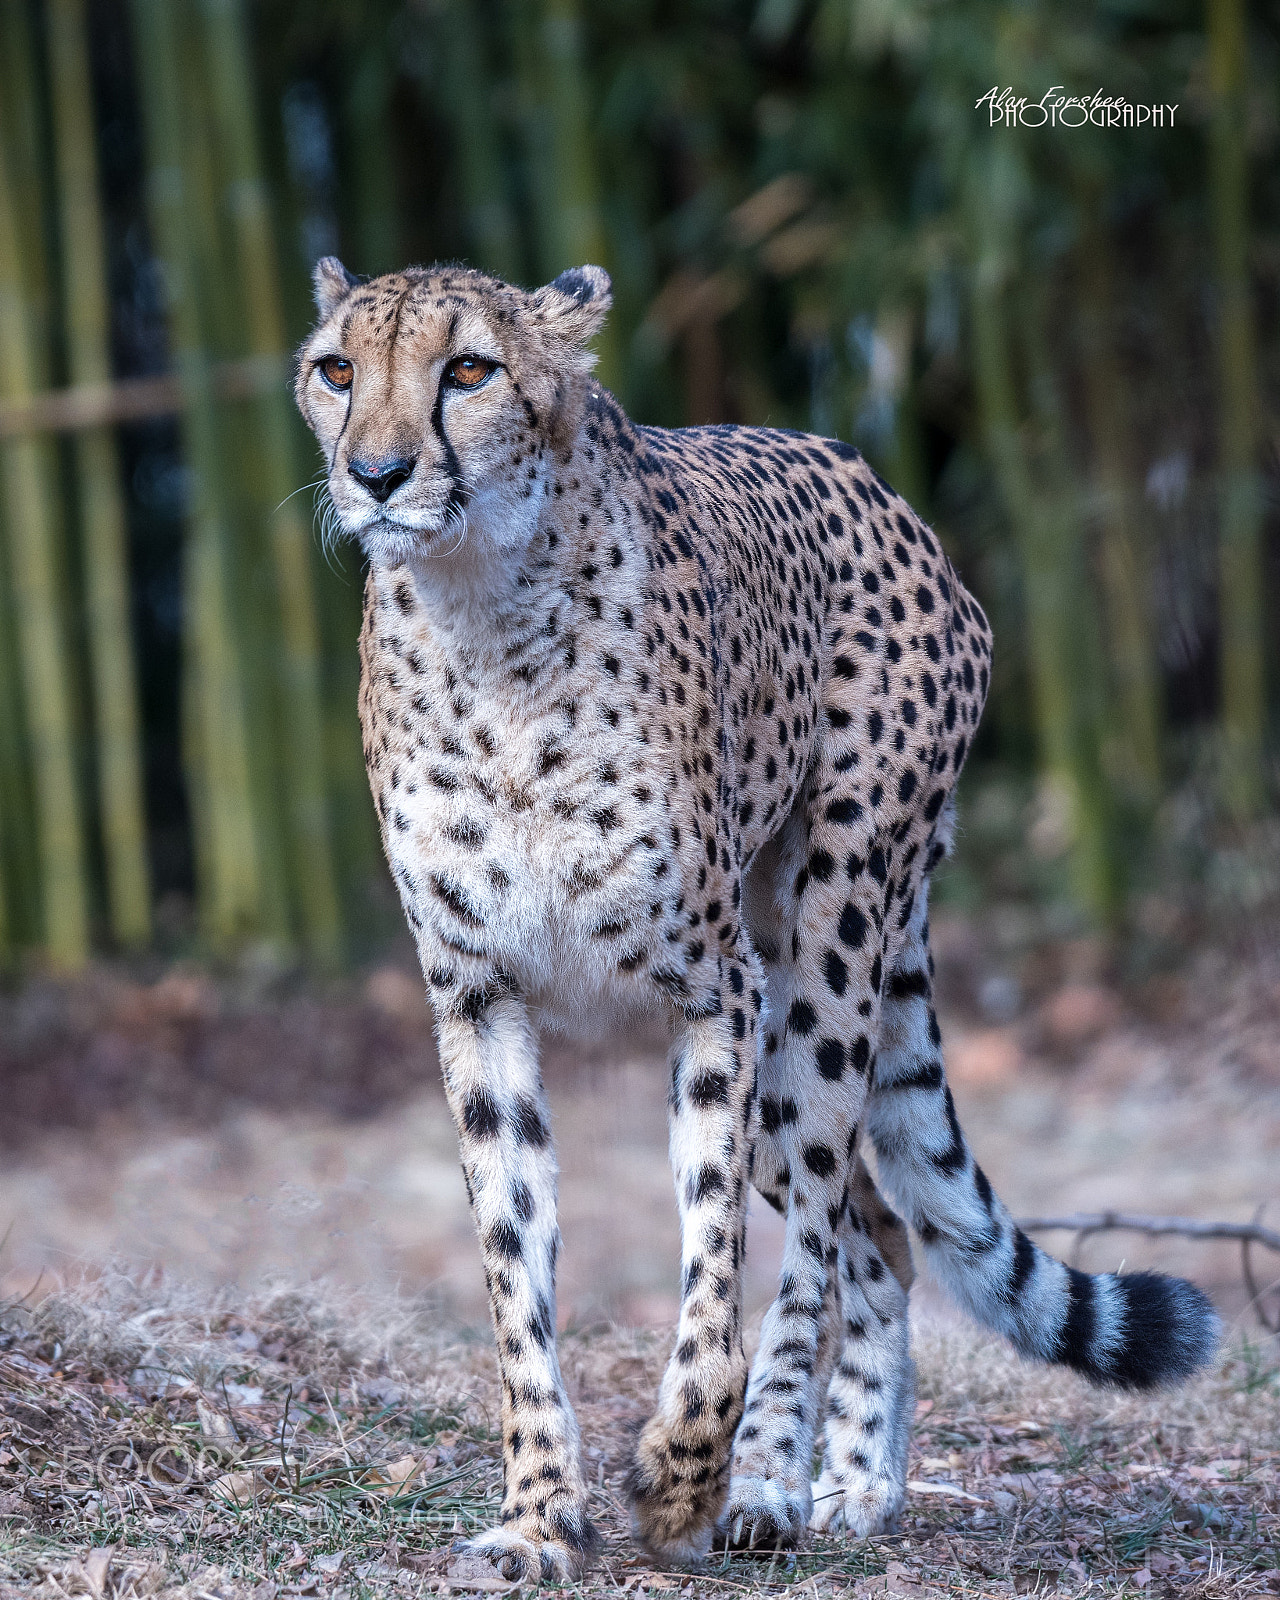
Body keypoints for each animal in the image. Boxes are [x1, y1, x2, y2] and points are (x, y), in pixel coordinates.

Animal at [295, 257, 1219, 1584]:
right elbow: (515, 1271)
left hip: (829, 944)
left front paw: (679, 1475)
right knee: (879, 1234)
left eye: (466, 369)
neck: (485, 613)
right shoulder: (476, 999)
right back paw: (848, 1477)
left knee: (829, 1226)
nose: (374, 473)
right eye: (335, 369)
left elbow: (714, 1273)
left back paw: (777, 1482)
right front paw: (538, 1514)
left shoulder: (712, 991)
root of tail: (867, 475)